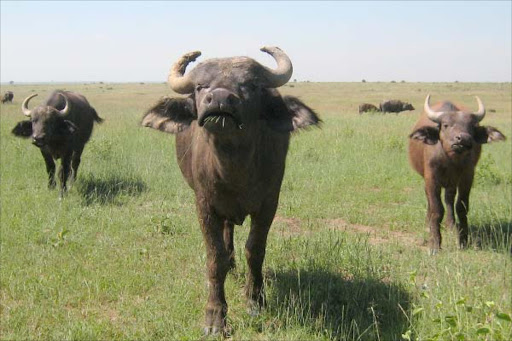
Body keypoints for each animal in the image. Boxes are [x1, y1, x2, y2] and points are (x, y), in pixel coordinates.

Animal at [141, 46, 320, 334]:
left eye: (250, 85)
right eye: (200, 86)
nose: (220, 99)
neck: (234, 170)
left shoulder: (269, 203)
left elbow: (255, 250)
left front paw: (255, 300)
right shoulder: (204, 205)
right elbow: (215, 257)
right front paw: (215, 317)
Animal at [410, 94, 506, 254]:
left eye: (471, 126)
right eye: (446, 125)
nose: (464, 139)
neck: (450, 160)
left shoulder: (467, 178)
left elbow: (461, 207)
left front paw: (463, 241)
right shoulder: (431, 178)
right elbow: (436, 208)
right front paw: (434, 243)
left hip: (451, 184)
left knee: (449, 199)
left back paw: (451, 225)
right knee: (431, 201)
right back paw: (428, 224)